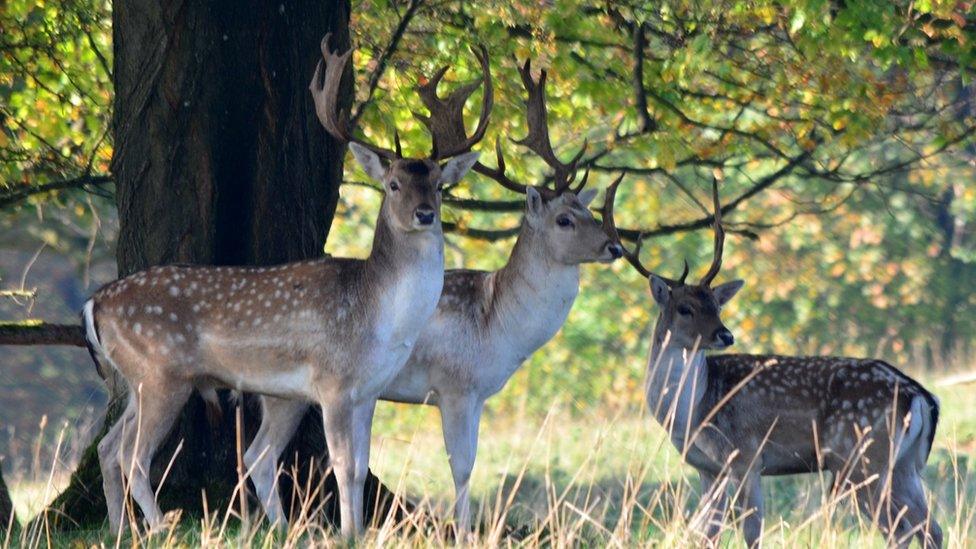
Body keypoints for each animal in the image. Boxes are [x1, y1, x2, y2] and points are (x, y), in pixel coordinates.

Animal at [85, 35, 488, 540]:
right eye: (394, 184)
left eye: (438, 185)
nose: (426, 214)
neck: (379, 316)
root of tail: (94, 302)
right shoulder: (334, 382)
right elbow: (343, 466)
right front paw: (348, 535)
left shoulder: (368, 391)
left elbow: (360, 468)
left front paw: (355, 531)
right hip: (160, 373)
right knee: (133, 456)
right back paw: (161, 529)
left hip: (142, 380)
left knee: (108, 447)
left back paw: (122, 530)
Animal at [244, 58, 624, 532]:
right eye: (564, 220)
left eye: (587, 210)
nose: (615, 246)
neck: (498, 327)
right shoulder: (455, 385)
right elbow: (462, 465)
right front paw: (465, 531)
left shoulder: (476, 394)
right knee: (262, 455)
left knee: (259, 456)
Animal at [608, 180, 940, 548]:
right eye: (685, 308)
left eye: (716, 306)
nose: (726, 334)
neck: (691, 411)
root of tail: (921, 396)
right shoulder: (708, 469)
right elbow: (707, 533)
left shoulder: (746, 455)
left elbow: (752, 532)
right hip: (903, 465)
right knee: (929, 527)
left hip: (860, 458)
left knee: (899, 528)